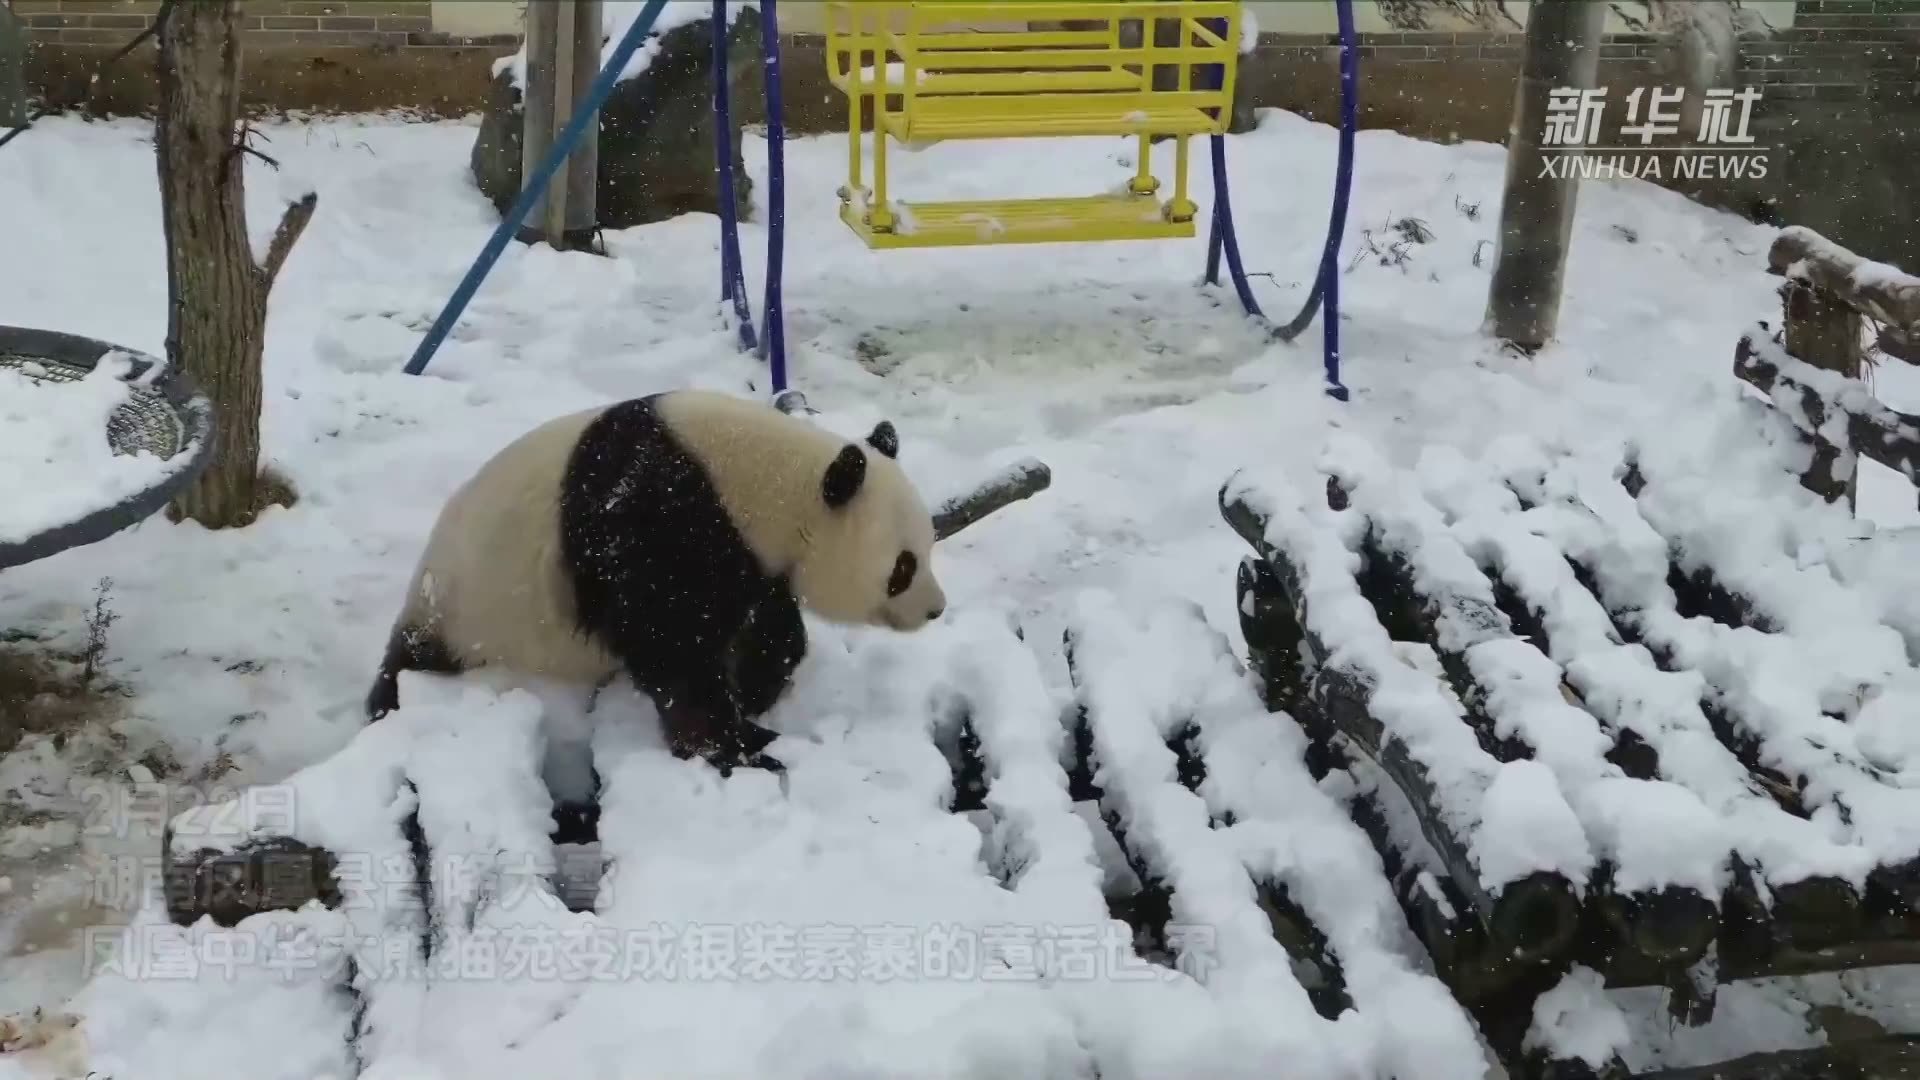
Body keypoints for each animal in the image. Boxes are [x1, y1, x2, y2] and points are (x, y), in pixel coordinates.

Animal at [362, 386, 948, 772]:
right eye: (903, 567)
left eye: (927, 547)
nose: (936, 609)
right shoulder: (656, 519)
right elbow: (673, 644)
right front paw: (739, 744)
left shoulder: (746, 556)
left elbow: (768, 620)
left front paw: (756, 687)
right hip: (466, 608)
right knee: (409, 663)